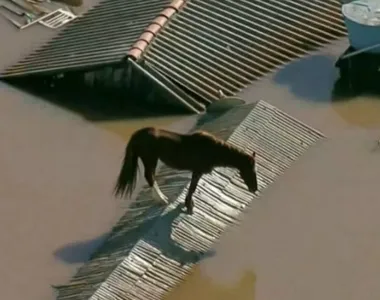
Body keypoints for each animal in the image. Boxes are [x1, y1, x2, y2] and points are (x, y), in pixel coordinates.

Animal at [114, 127, 258, 214]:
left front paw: (188, 205)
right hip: (150, 160)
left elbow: (192, 188)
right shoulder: (198, 171)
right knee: (150, 176)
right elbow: (192, 188)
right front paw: (189, 207)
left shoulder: (197, 172)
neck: (213, 150)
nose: (254, 189)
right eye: (251, 170)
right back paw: (162, 199)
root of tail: (138, 134)